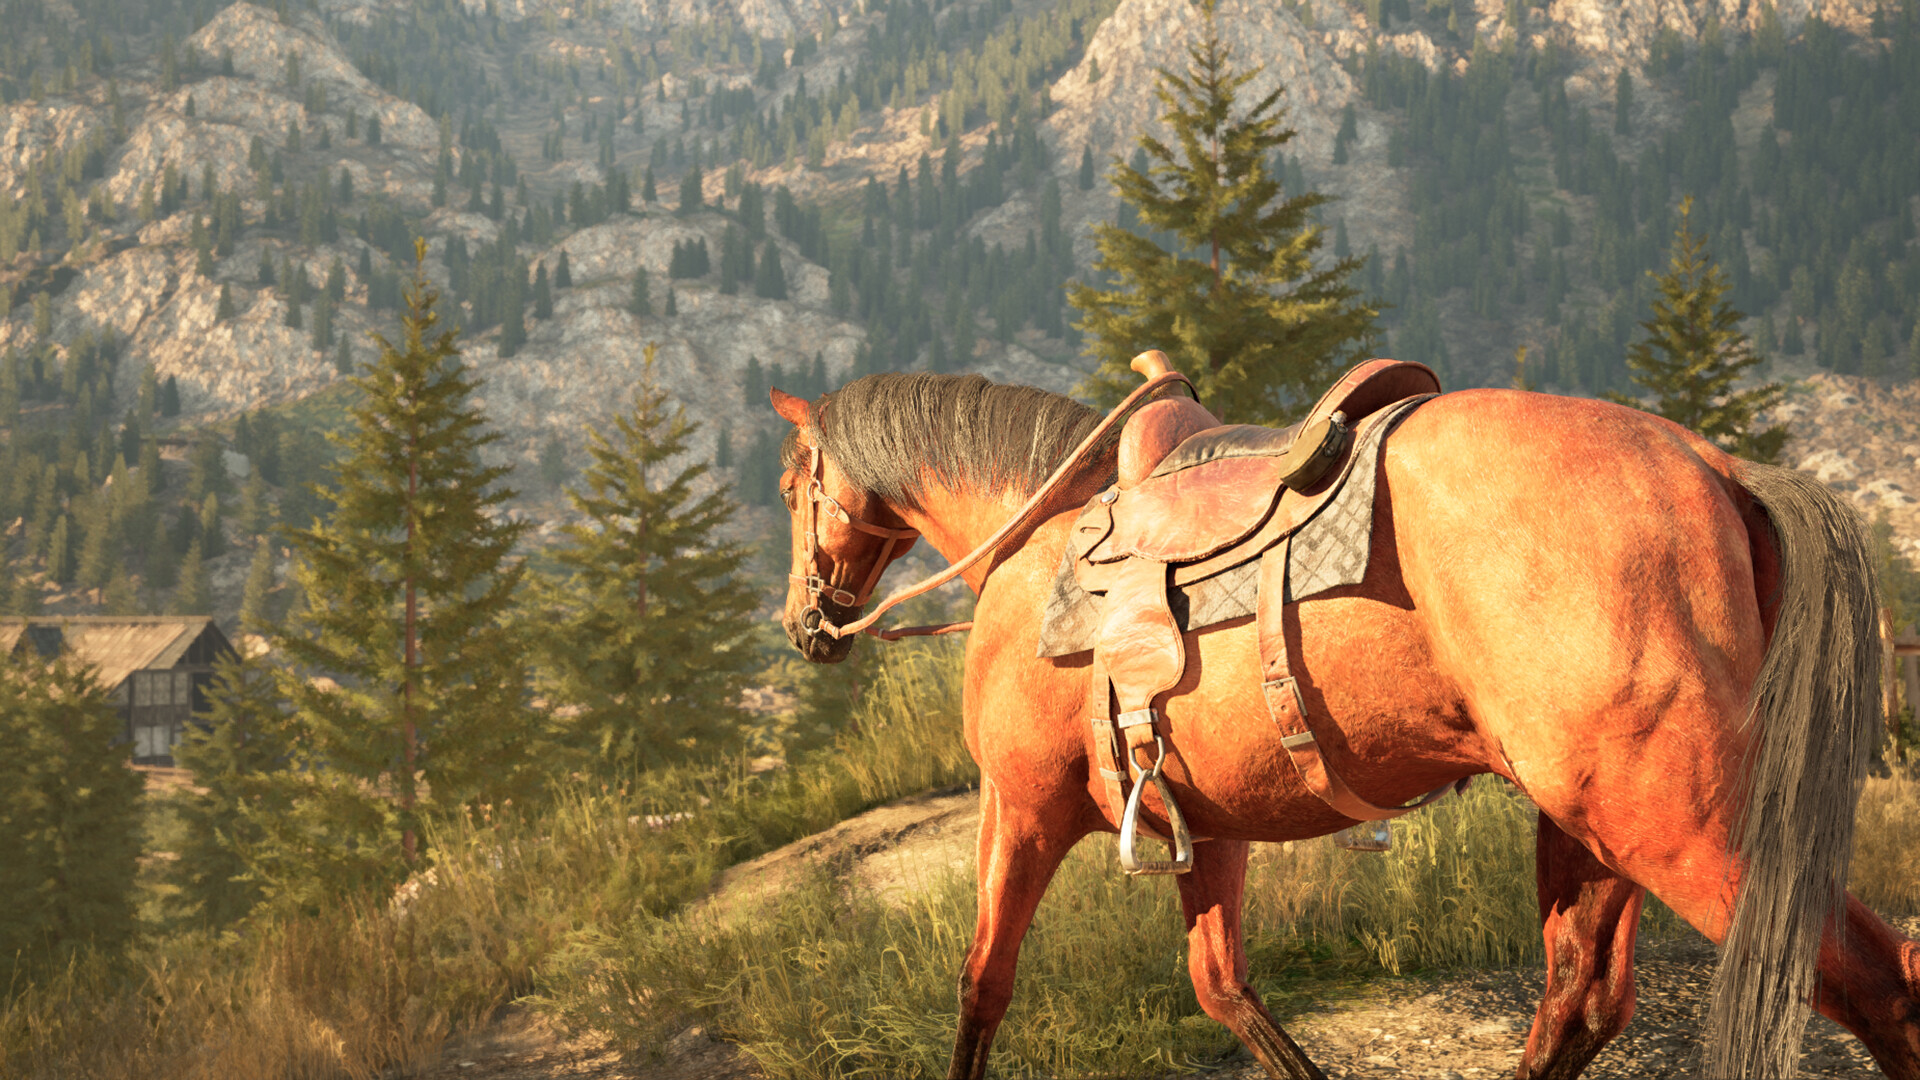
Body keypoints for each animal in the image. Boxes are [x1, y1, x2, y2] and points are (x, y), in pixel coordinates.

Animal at [765, 368, 1920, 1080]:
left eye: (788, 486)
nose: (804, 622)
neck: (1034, 544)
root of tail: (1714, 465)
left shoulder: (1021, 812)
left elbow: (981, 986)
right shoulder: (1207, 830)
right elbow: (1222, 987)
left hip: (1679, 826)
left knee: (1880, 985)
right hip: (1589, 827)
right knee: (1581, 1001)